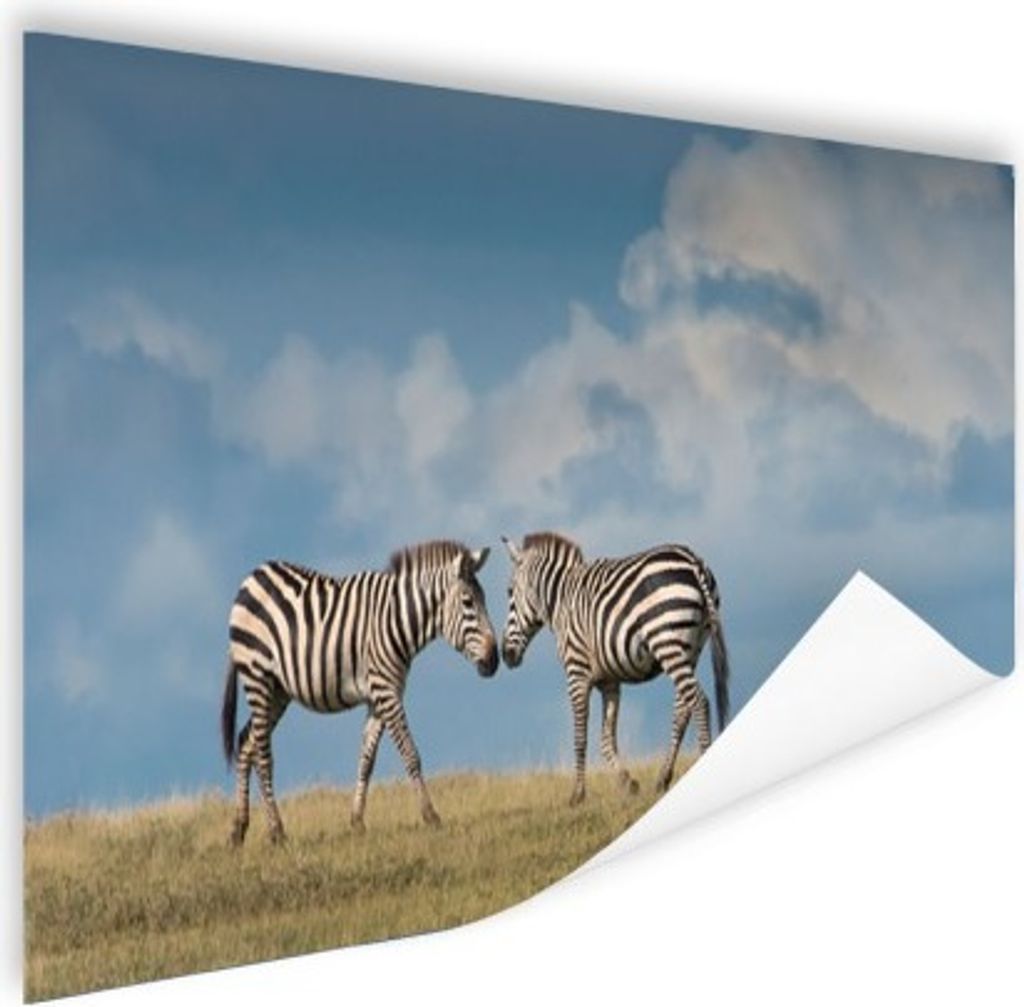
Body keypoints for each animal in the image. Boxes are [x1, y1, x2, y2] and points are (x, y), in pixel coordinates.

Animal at [221, 540, 498, 844]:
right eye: (469, 602)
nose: (495, 660)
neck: (396, 620)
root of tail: (251, 578)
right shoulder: (386, 690)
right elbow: (410, 754)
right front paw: (431, 816)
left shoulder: (379, 696)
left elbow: (366, 759)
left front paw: (357, 822)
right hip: (257, 675)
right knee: (262, 753)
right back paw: (277, 832)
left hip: (277, 690)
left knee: (246, 742)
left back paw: (238, 829)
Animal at [500, 532, 729, 804]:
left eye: (509, 592)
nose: (505, 655)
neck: (560, 600)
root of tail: (693, 560)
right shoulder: (609, 681)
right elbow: (606, 739)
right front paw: (628, 783)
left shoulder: (576, 673)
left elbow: (580, 737)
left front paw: (577, 794)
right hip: (690, 647)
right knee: (682, 709)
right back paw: (662, 779)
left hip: (666, 640)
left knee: (699, 701)